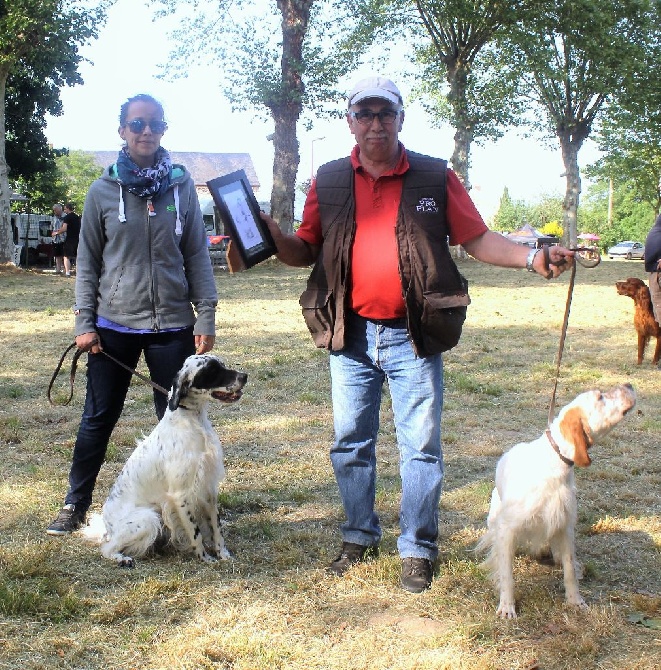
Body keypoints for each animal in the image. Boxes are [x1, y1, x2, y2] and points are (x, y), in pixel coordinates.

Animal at [82, 354, 246, 568]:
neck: (194, 422)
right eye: (211, 370)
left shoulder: (208, 488)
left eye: (222, 365)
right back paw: (123, 558)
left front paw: (223, 553)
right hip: (148, 518)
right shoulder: (181, 495)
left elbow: (216, 527)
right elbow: (196, 533)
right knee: (108, 547)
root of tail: (107, 527)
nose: (244, 376)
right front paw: (205, 558)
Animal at [476, 384, 636, 620]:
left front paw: (575, 601)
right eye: (600, 397)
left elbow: (569, 569)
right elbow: (507, 575)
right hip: (494, 518)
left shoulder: (565, 524)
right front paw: (507, 606)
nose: (629, 385)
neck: (554, 464)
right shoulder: (507, 530)